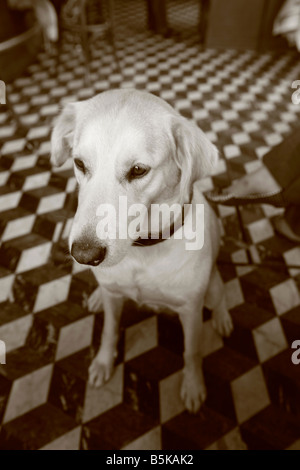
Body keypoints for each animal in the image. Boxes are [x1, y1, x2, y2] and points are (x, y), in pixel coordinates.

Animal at [50, 90, 233, 414]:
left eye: (138, 170)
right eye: (79, 163)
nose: (83, 254)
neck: (144, 249)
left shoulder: (191, 311)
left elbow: (192, 351)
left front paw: (193, 385)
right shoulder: (114, 297)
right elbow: (109, 331)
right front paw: (103, 362)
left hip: (210, 289)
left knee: (220, 293)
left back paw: (223, 318)